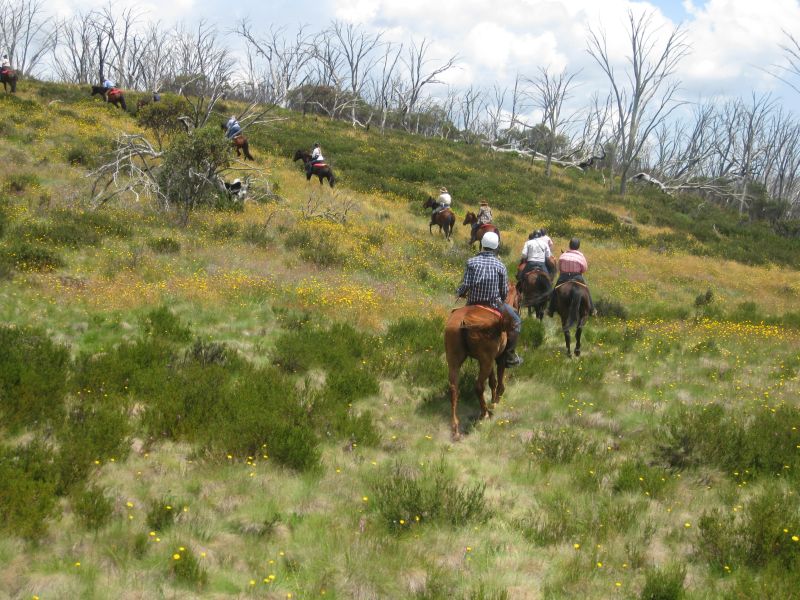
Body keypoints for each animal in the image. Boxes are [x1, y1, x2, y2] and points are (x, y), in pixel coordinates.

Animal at [444, 282, 520, 440]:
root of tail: (464, 321)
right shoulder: (498, 358)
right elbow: (498, 379)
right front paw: (496, 400)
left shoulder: (490, 360)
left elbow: (492, 381)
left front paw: (493, 399)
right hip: (485, 361)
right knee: (479, 386)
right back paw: (484, 414)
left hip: (454, 360)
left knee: (454, 389)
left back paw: (455, 428)